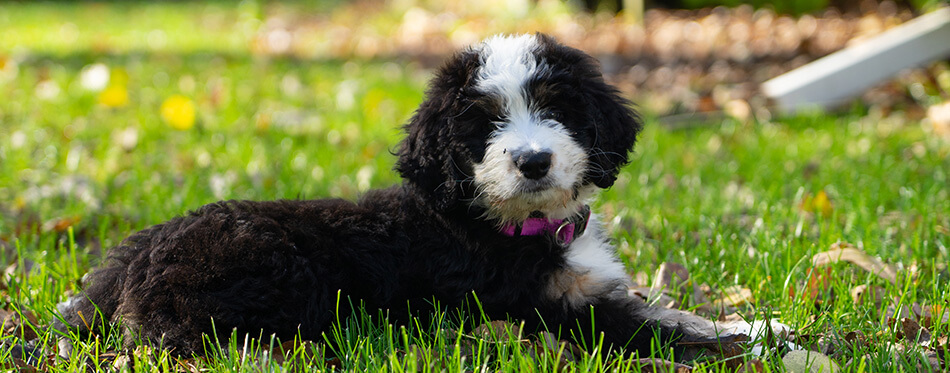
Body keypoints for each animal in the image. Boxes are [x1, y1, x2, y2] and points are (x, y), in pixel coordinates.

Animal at [55, 33, 732, 356]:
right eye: (483, 125)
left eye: (556, 109)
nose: (534, 160)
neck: (514, 222)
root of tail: (119, 273)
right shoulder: (545, 307)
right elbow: (656, 327)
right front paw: (747, 332)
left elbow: (668, 311)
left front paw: (735, 321)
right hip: (275, 263)